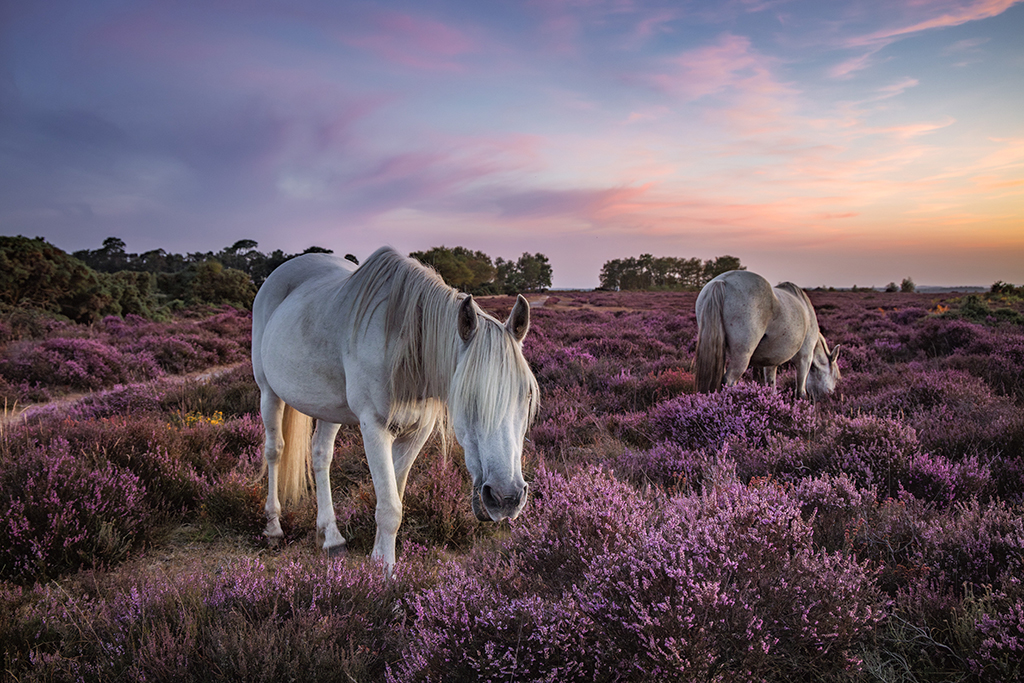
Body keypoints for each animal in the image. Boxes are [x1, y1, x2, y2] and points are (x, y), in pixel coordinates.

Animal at [251, 246, 539, 570]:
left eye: (527, 395)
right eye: (466, 395)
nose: (507, 497)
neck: (406, 352)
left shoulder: (416, 433)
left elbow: (394, 497)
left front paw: (378, 558)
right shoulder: (374, 429)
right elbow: (390, 508)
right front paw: (385, 570)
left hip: (329, 408)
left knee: (321, 455)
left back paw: (330, 536)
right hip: (268, 392)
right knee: (275, 450)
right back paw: (273, 527)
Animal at [694, 270, 840, 400]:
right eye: (836, 377)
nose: (830, 397)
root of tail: (721, 282)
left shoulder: (771, 362)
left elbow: (771, 386)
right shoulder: (805, 356)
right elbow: (800, 389)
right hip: (742, 355)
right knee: (729, 380)